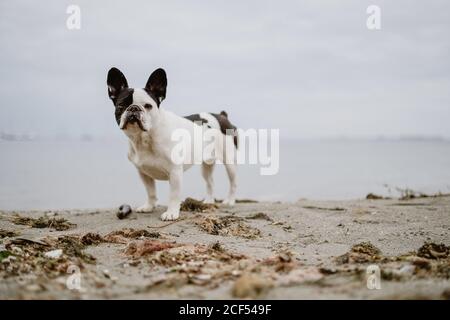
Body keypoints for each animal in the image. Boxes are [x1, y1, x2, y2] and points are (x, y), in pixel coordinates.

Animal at [107, 68, 237, 221]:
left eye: (148, 106)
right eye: (121, 105)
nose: (133, 108)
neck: (145, 138)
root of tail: (221, 116)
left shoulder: (175, 172)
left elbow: (174, 195)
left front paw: (171, 213)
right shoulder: (143, 173)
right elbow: (150, 191)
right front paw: (149, 206)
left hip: (229, 161)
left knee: (233, 183)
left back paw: (230, 201)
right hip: (207, 164)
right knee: (210, 182)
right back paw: (209, 201)